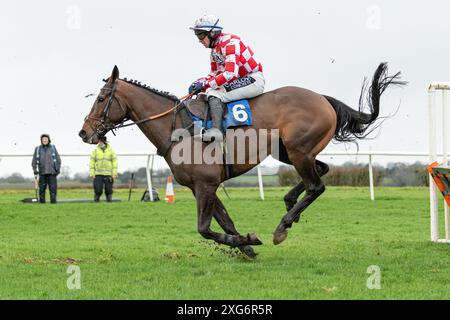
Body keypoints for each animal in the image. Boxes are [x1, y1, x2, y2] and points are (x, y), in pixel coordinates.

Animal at [79, 62, 406, 258]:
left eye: (101, 98)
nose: (84, 132)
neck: (178, 127)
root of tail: (323, 98)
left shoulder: (206, 184)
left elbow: (204, 228)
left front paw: (248, 242)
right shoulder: (201, 187)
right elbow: (224, 222)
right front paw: (247, 246)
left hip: (298, 150)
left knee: (317, 185)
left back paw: (283, 225)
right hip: (289, 151)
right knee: (321, 171)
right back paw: (290, 205)